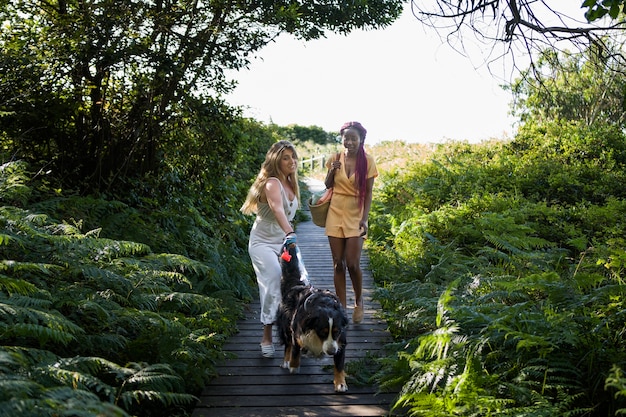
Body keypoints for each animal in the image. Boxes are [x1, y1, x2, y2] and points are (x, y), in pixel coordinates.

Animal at [276, 237, 348, 390]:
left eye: (337, 332)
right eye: (322, 332)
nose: (331, 351)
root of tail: (297, 284)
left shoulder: (340, 342)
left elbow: (339, 364)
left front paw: (340, 383)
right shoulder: (297, 332)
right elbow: (295, 349)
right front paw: (293, 366)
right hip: (285, 324)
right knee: (287, 344)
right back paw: (286, 360)